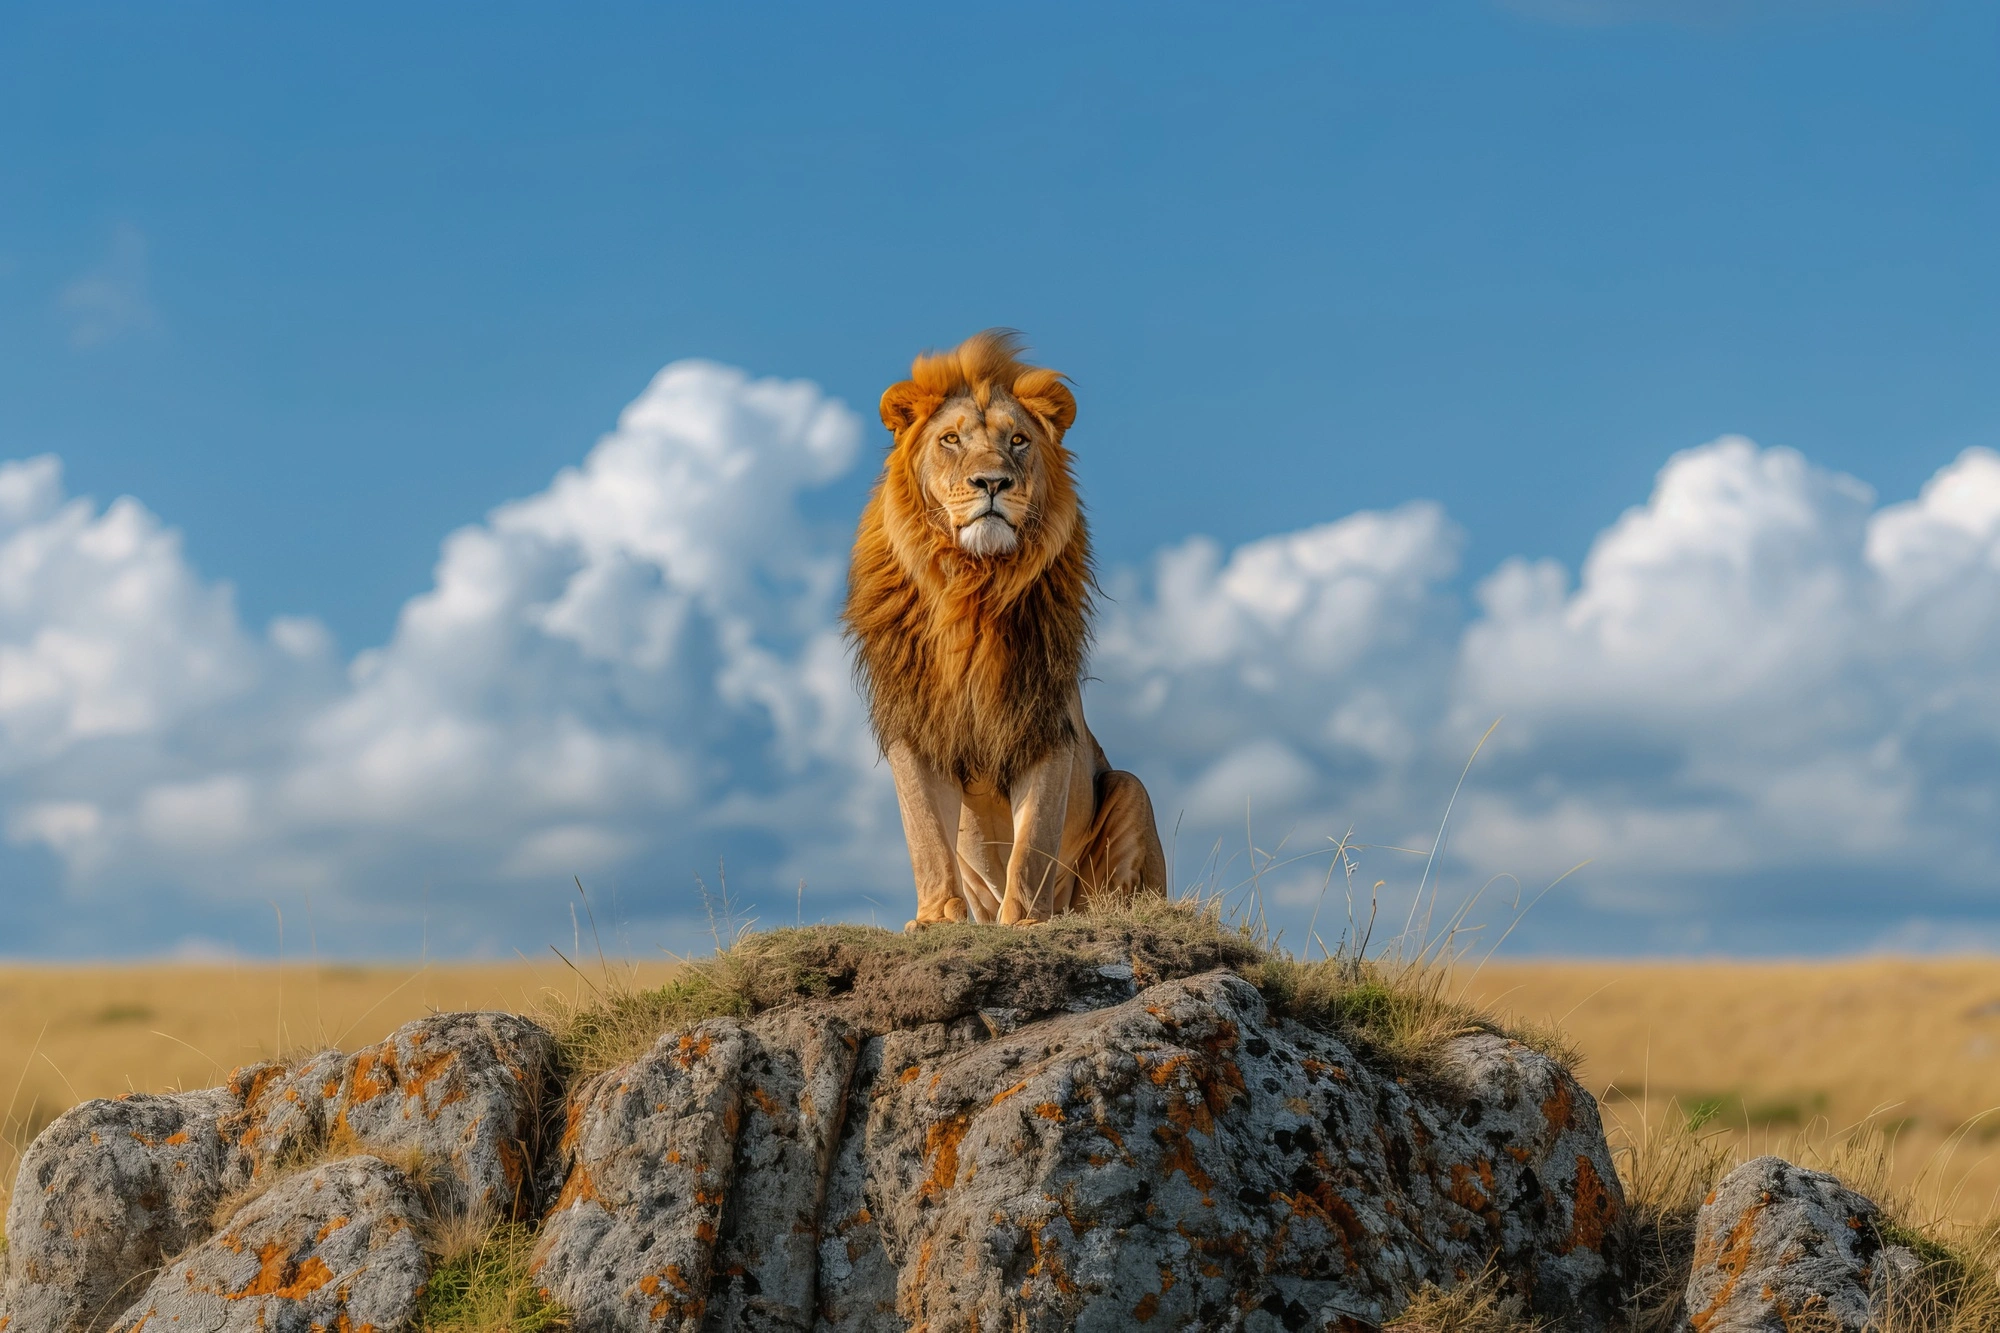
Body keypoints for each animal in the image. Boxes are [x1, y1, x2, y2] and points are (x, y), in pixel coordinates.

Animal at [843, 330, 1168, 930]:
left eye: (1018, 440)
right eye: (950, 439)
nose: (992, 481)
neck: (973, 588)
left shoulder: (1046, 725)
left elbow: (1033, 841)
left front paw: (1026, 922)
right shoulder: (915, 727)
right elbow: (926, 835)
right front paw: (936, 918)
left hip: (1130, 789)